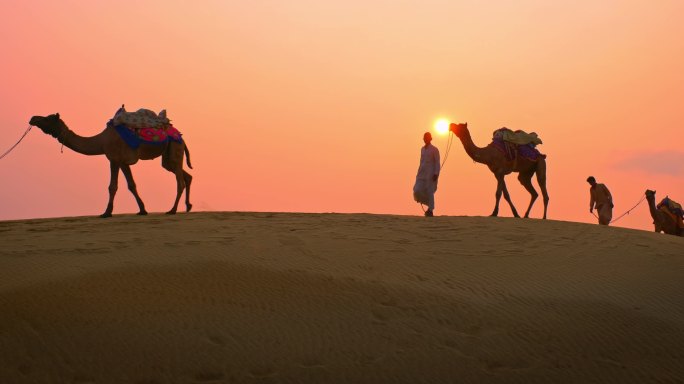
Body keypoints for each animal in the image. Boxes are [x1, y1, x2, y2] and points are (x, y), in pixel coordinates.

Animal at [29, 112, 192, 218]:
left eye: (48, 118)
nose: (33, 118)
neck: (101, 141)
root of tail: (181, 137)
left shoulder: (113, 159)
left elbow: (112, 186)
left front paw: (106, 212)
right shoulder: (123, 162)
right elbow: (132, 185)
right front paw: (142, 210)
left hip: (175, 148)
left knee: (180, 181)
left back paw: (172, 210)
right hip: (169, 156)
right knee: (185, 175)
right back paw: (188, 206)